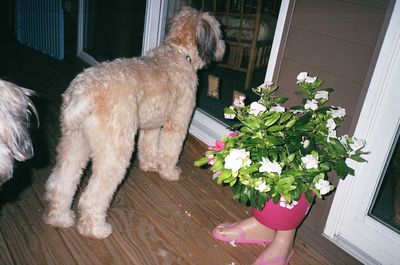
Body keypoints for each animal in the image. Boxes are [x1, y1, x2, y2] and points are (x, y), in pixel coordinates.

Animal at [44, 8, 225, 238]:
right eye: (219, 33)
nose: (223, 48)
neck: (178, 53)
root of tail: (83, 92)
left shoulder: (151, 126)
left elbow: (148, 148)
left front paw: (149, 166)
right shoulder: (178, 122)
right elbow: (170, 151)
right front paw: (169, 172)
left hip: (75, 142)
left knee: (61, 184)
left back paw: (61, 218)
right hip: (115, 151)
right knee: (92, 197)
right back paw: (96, 229)